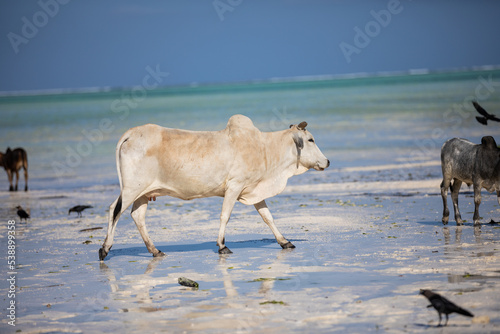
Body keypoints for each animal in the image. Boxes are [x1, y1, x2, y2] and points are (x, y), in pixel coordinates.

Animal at [99, 113, 330, 260]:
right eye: (310, 139)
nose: (327, 161)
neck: (264, 149)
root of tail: (130, 133)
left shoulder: (254, 190)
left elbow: (268, 218)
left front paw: (284, 241)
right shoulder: (235, 186)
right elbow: (224, 216)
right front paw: (222, 245)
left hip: (143, 193)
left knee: (137, 217)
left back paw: (155, 250)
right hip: (131, 188)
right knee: (114, 210)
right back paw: (105, 249)